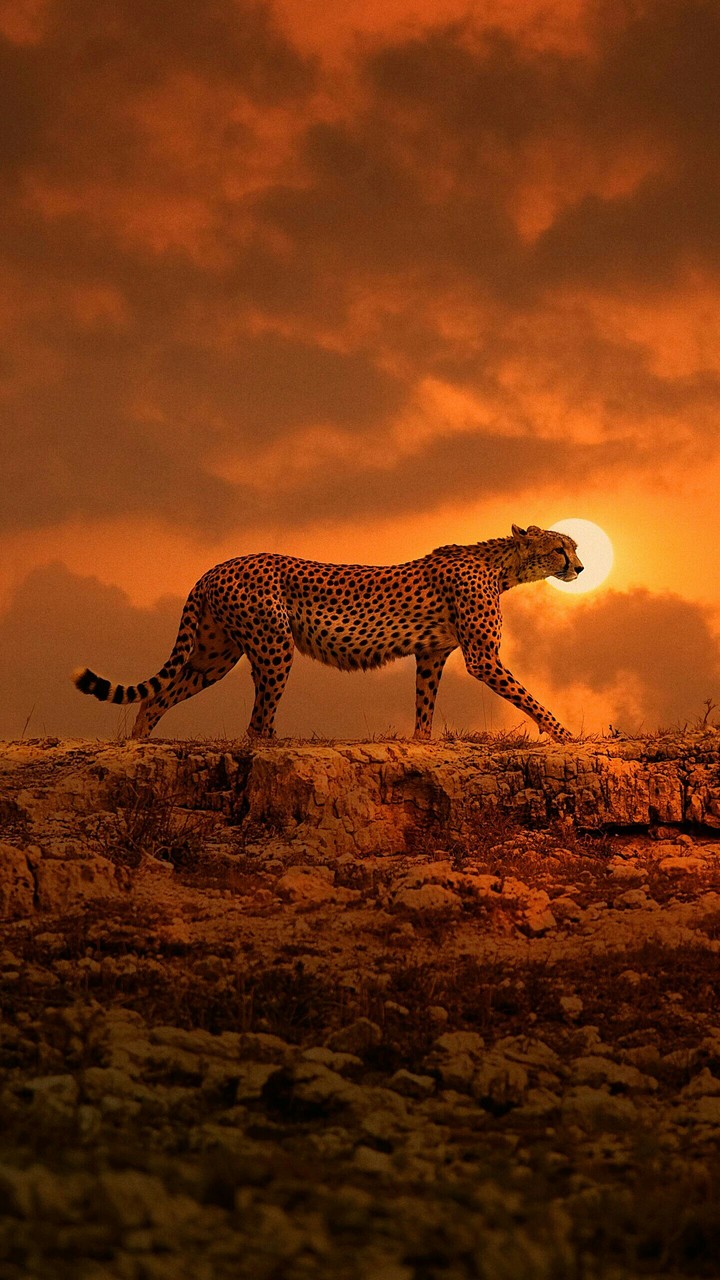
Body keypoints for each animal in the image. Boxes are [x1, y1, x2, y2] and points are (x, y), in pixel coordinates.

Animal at [72, 523, 583, 742]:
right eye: (561, 548)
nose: (579, 567)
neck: (503, 566)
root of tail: (216, 566)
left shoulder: (432, 655)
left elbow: (425, 703)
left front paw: (422, 742)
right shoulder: (483, 658)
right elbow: (528, 697)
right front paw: (563, 733)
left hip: (214, 656)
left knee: (158, 696)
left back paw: (136, 744)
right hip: (273, 646)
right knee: (255, 723)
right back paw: (272, 743)